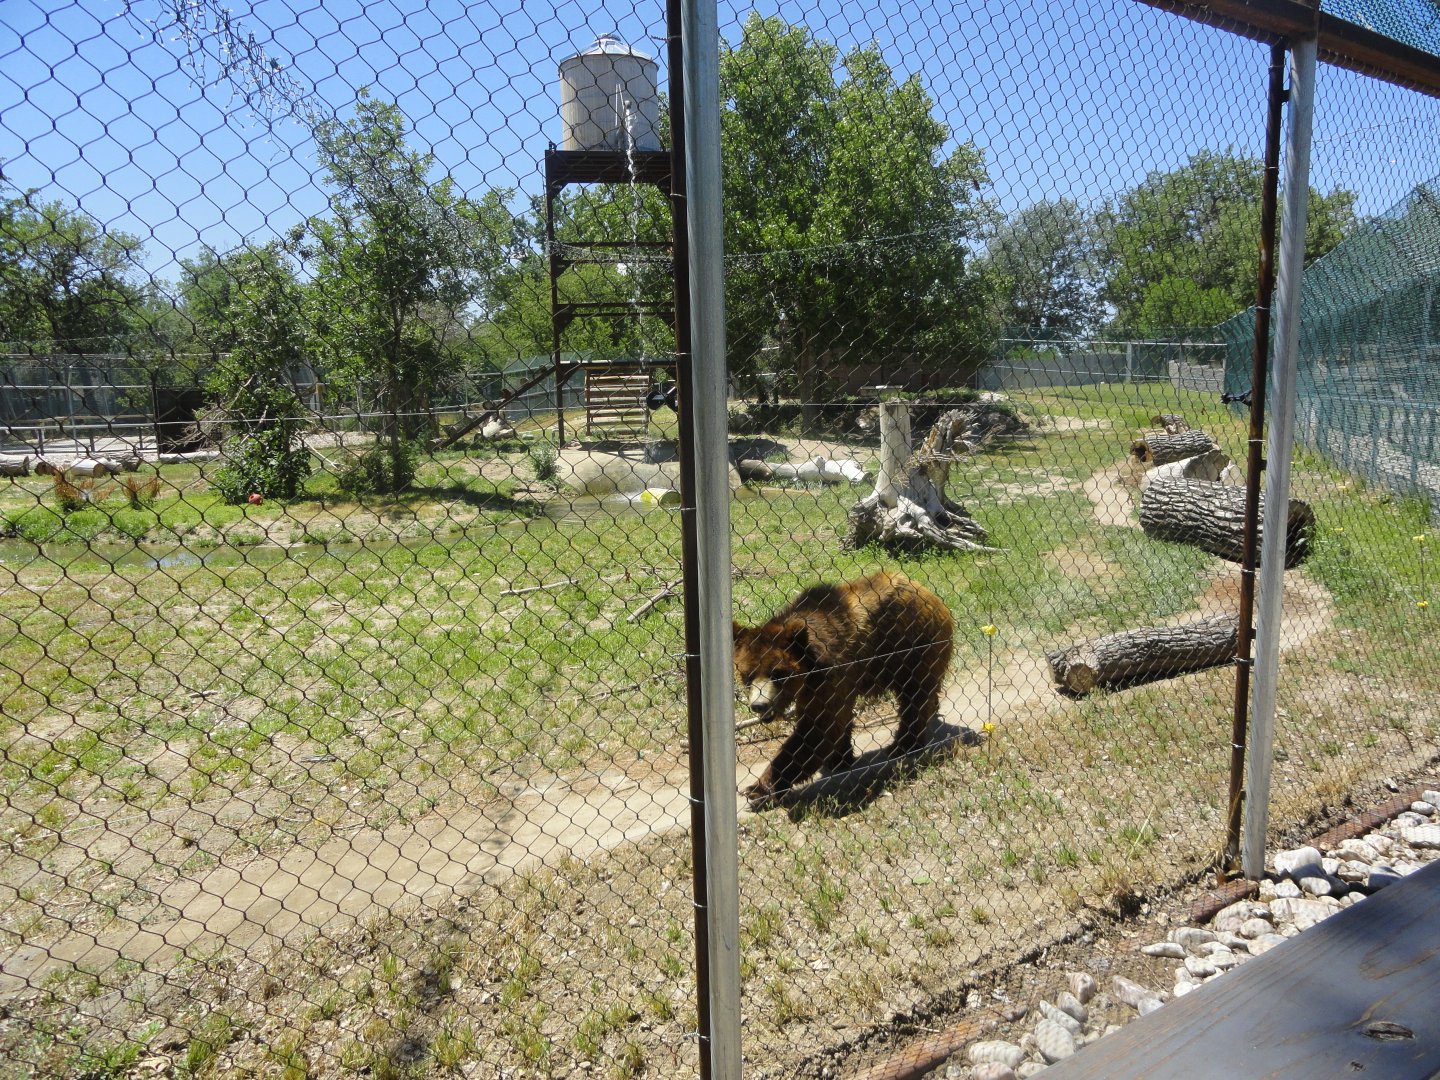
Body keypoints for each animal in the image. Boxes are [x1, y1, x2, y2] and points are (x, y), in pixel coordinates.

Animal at [732, 571, 954, 803]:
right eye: (747, 675)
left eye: (777, 674)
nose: (759, 705)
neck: (810, 668)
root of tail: (929, 593)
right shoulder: (822, 684)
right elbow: (837, 721)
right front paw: (839, 758)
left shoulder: (830, 674)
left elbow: (818, 728)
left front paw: (757, 789)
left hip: (915, 645)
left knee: (915, 695)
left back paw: (903, 744)